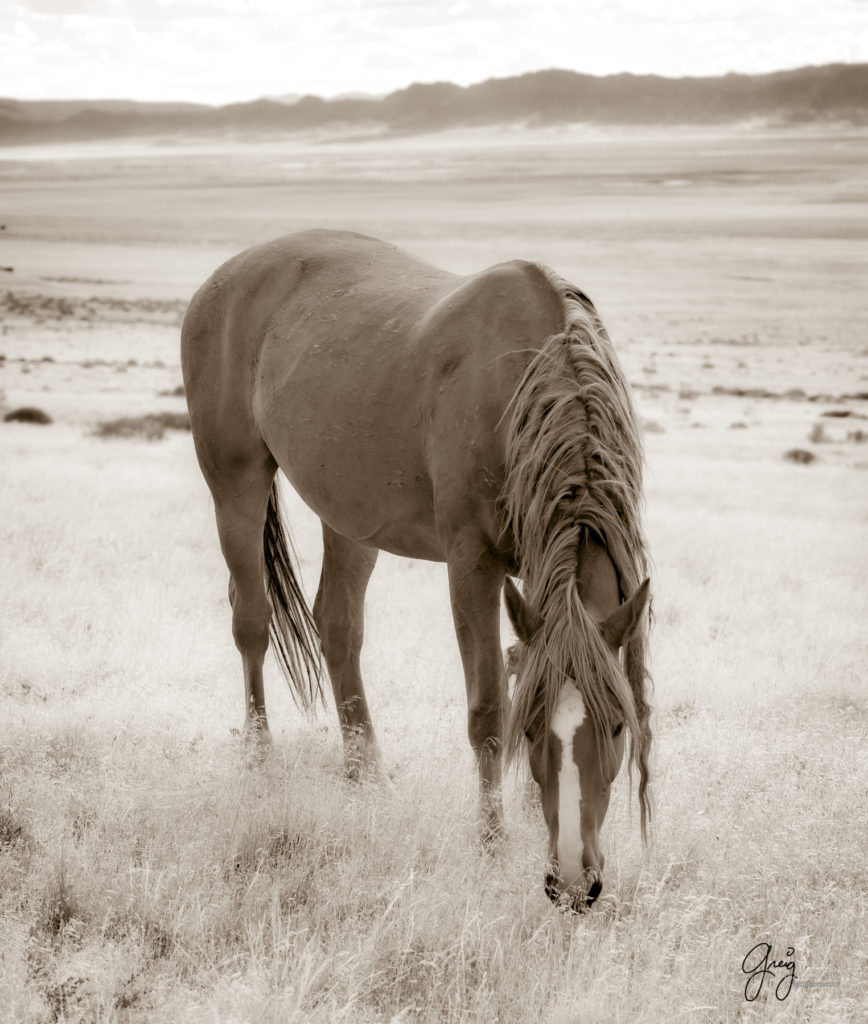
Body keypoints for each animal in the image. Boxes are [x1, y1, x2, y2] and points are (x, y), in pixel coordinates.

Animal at [181, 230, 651, 913]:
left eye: (617, 726)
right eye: (535, 728)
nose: (571, 883)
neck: (529, 388)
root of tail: (223, 279)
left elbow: (534, 669)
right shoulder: (472, 563)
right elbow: (487, 708)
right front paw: (491, 842)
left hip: (350, 516)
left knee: (338, 626)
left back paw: (365, 776)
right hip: (235, 484)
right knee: (252, 622)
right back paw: (260, 761)